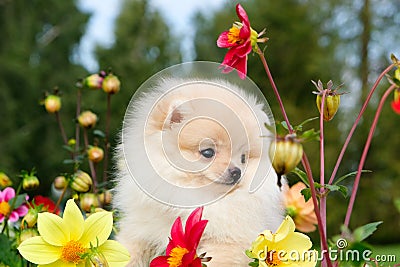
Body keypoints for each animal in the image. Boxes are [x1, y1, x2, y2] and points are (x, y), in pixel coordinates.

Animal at [113, 79, 284, 267]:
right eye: (208, 152)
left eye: (243, 158)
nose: (237, 172)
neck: (195, 197)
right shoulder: (140, 230)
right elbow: (128, 252)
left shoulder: (229, 242)